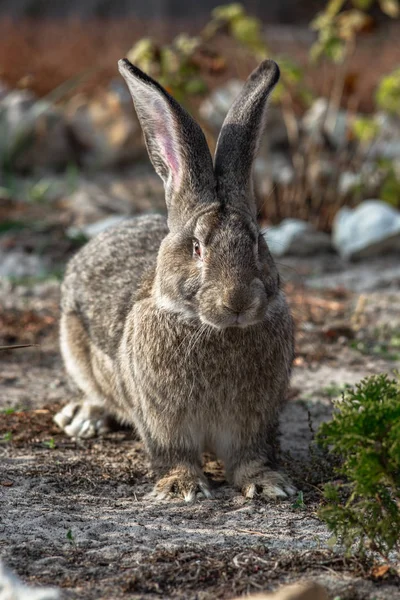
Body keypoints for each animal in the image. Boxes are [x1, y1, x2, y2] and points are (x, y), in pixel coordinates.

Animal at [54, 58, 296, 502]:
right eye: (197, 247)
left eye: (257, 241)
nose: (237, 301)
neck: (211, 328)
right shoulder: (162, 421)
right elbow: (173, 453)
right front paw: (182, 487)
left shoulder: (252, 423)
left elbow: (250, 456)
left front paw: (270, 484)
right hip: (72, 342)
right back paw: (83, 418)